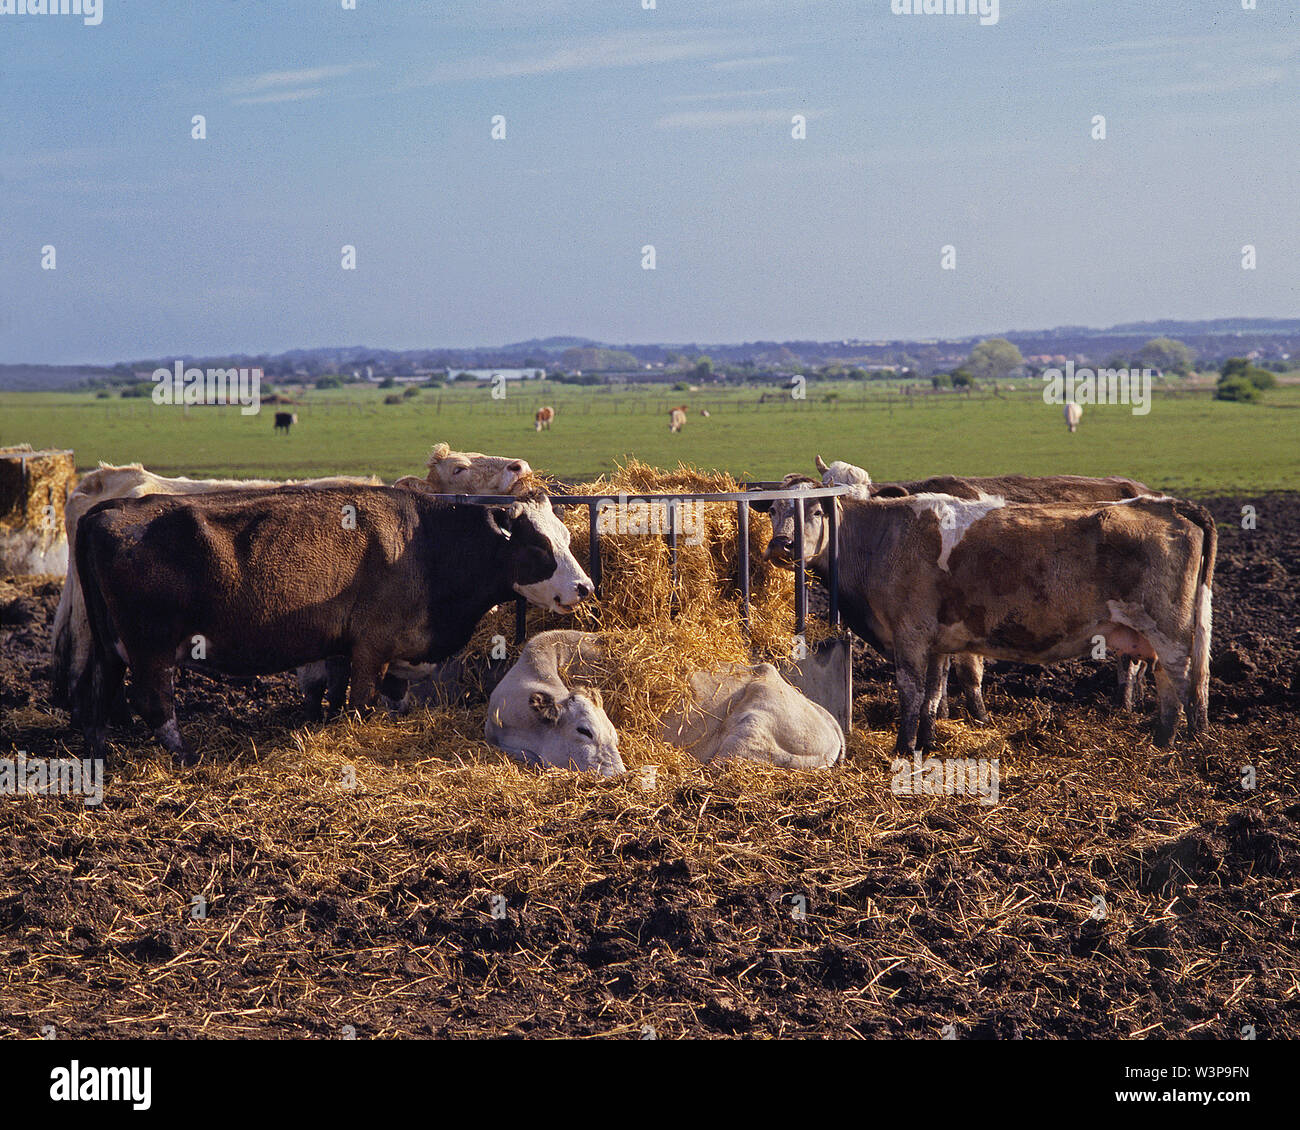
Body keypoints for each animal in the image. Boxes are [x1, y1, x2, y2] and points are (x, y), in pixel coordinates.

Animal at [75, 486, 593, 763]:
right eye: (538, 547)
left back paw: (99, 749)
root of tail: (111, 509)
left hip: (110, 646)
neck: (425, 547)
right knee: (152, 701)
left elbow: (379, 698)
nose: (585, 587)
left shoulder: (362, 650)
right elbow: (360, 703)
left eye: (566, 538)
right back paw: (184, 754)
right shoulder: (371, 648)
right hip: (151, 648)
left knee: (98, 691)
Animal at [761, 489, 1214, 752]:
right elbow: (932, 695)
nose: (781, 544)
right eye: (774, 511)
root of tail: (1163, 505)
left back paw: (1180, 743)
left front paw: (902, 748)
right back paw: (1163, 741)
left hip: (1169, 631)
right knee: (1173, 681)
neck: (881, 539)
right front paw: (925, 744)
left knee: (1182, 681)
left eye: (816, 511)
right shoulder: (938, 642)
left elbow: (910, 693)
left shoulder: (910, 636)